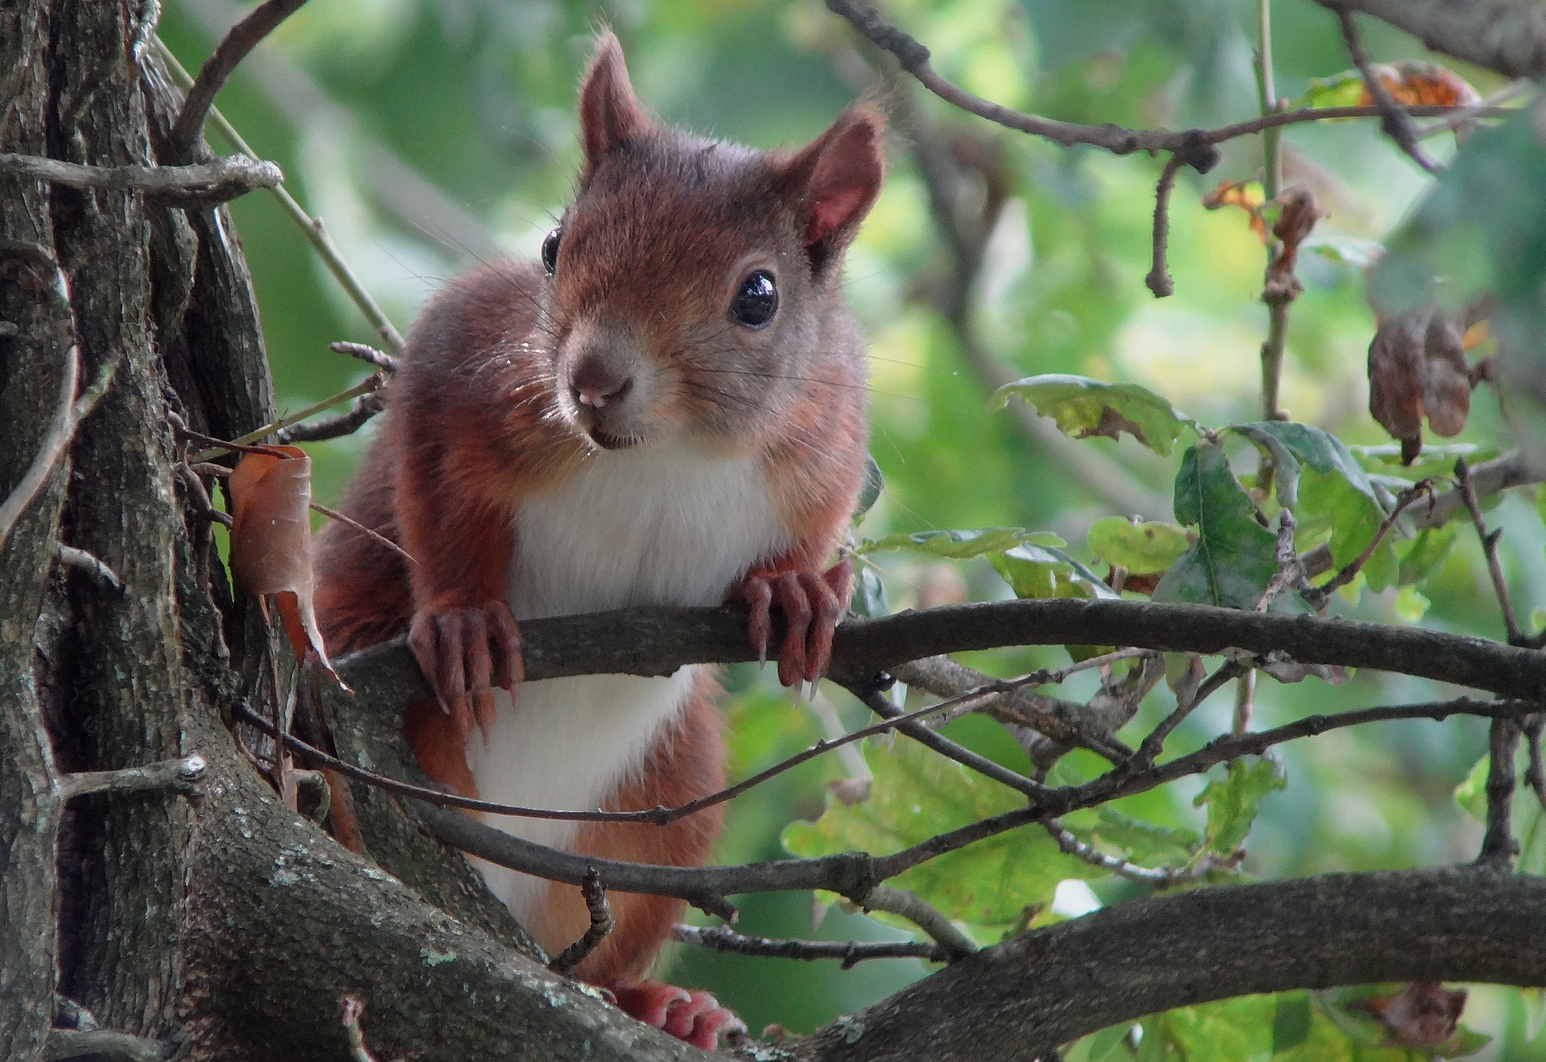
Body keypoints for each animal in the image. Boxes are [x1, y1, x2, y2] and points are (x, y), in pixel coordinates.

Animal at [313, 33, 884, 1057]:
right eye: (552, 247)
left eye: (760, 296)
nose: (592, 381)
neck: (666, 452)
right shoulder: (468, 360)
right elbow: (432, 485)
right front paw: (463, 619)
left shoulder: (829, 433)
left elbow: (818, 525)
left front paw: (796, 593)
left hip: (662, 809)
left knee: (599, 952)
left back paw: (661, 1005)